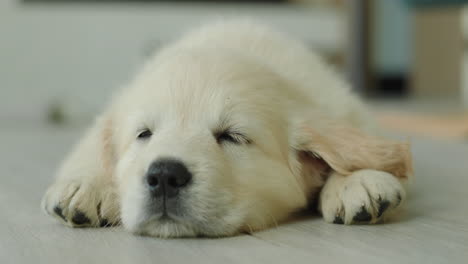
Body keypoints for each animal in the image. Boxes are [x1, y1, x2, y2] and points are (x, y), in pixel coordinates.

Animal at [41, 20, 414, 238]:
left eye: (232, 136)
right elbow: (95, 144)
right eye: (144, 134)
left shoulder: (342, 105)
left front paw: (358, 180)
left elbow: (352, 140)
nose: (164, 175)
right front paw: (89, 184)